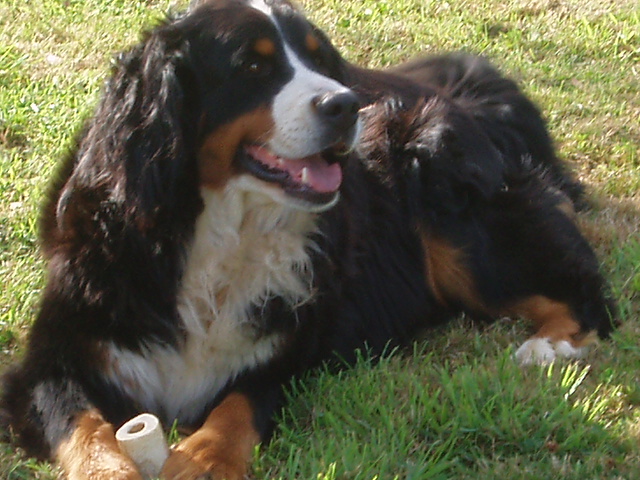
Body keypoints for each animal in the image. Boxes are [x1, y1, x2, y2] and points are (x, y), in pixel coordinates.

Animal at [0, 0, 616, 480]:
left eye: (320, 60)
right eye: (252, 65)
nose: (346, 104)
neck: (221, 230)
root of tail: (465, 100)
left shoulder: (288, 352)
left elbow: (237, 405)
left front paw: (205, 459)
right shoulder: (57, 358)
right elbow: (86, 429)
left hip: (455, 222)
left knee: (586, 291)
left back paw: (549, 347)